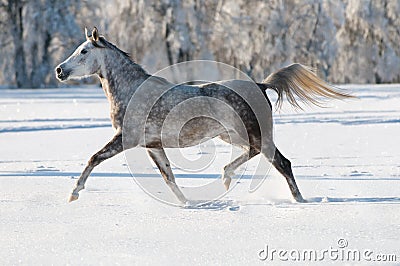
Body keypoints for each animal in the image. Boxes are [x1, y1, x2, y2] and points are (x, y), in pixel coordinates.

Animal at [55, 27, 350, 204]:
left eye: (84, 51)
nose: (59, 70)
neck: (132, 91)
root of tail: (260, 85)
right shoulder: (153, 145)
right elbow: (168, 176)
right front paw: (187, 204)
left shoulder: (125, 138)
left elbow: (94, 158)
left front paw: (73, 193)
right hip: (233, 136)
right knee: (260, 156)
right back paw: (230, 178)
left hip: (254, 134)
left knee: (280, 162)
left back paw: (295, 199)